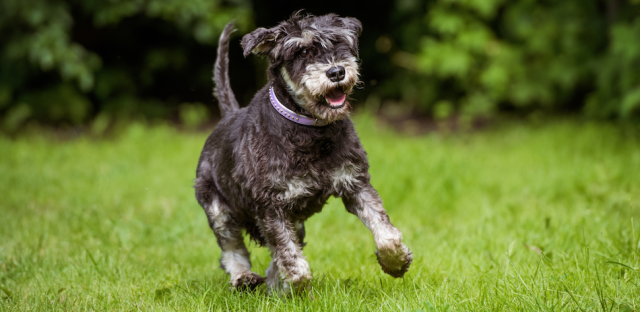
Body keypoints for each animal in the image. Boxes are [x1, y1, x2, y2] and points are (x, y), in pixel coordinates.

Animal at [195, 12, 412, 294]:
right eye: (302, 51)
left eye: (339, 42)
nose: (336, 72)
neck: (309, 132)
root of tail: (228, 114)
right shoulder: (271, 205)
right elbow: (289, 257)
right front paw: (294, 288)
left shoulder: (355, 184)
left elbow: (385, 230)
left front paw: (396, 262)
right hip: (218, 209)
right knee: (232, 248)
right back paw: (244, 277)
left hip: (295, 220)